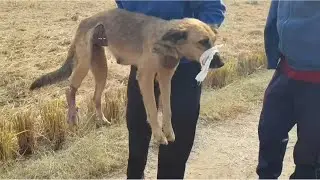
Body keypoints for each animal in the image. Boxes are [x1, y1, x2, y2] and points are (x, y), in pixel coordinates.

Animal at [30, 8, 225, 145]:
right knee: (69, 88)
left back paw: (102, 119)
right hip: (84, 64)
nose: (222, 63)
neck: (165, 41)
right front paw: (158, 135)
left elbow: (167, 109)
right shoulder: (145, 78)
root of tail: (84, 21)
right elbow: (152, 109)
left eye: (213, 40)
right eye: (202, 42)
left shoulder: (165, 78)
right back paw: (72, 116)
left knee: (95, 97)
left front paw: (168, 132)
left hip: (101, 70)